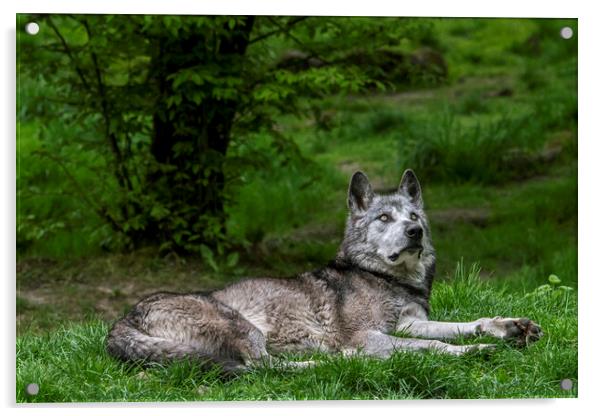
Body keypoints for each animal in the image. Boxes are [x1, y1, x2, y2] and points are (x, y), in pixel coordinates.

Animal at [105, 171, 540, 372]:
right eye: (385, 218)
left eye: (414, 217)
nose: (414, 232)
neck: (386, 278)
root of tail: (121, 321)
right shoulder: (371, 337)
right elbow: (436, 346)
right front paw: (477, 351)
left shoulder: (409, 324)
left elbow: (467, 324)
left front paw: (508, 328)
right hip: (240, 325)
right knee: (261, 368)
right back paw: (337, 363)